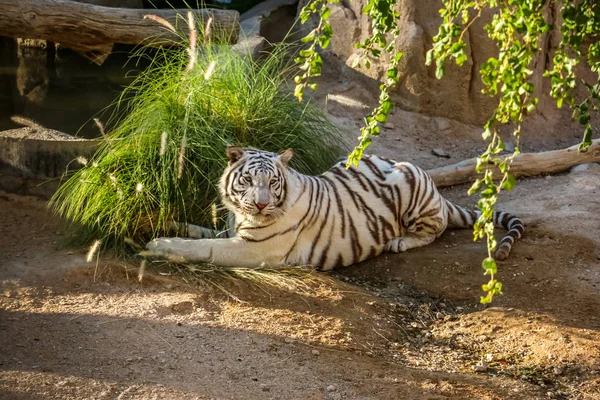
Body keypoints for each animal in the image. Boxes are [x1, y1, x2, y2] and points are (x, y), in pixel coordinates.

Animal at [146, 146, 524, 268]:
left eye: (272, 183)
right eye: (249, 181)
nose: (261, 204)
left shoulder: (253, 249)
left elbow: (205, 247)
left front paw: (158, 245)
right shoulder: (232, 229)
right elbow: (199, 231)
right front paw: (163, 223)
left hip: (412, 190)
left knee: (437, 227)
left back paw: (400, 241)